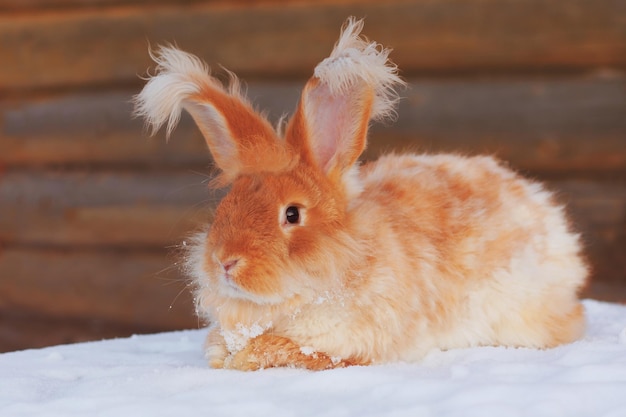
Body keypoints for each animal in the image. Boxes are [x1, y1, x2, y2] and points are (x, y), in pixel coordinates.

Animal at [134, 17, 588, 368]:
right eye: (225, 207)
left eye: (292, 214)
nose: (225, 263)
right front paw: (223, 357)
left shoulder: (347, 344)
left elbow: (283, 348)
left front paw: (243, 359)